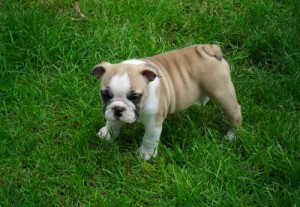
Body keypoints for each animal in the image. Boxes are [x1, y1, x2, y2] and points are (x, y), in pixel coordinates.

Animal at [91, 44, 241, 160]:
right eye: (105, 95)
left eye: (134, 96)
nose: (118, 109)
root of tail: (208, 48)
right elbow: (112, 122)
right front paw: (107, 134)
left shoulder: (154, 123)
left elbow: (149, 139)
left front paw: (146, 154)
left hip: (222, 93)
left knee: (234, 112)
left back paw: (232, 135)